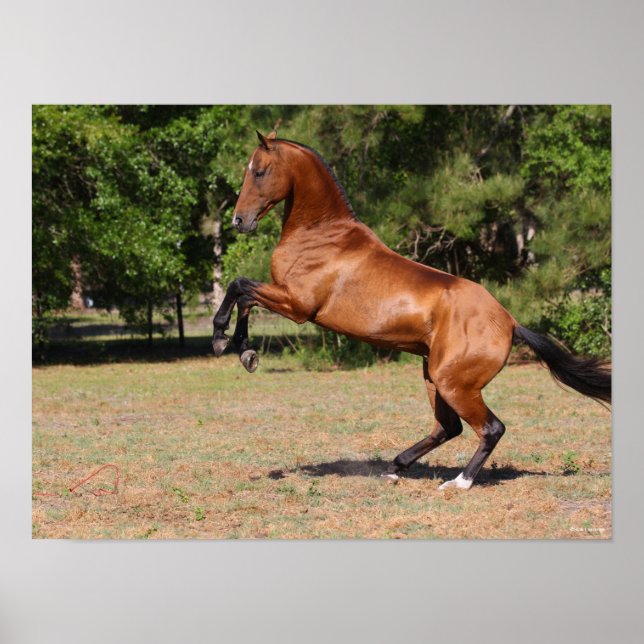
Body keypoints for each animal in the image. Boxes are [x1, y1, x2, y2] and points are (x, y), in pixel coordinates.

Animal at [212, 130, 611, 490]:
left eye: (259, 171)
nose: (239, 221)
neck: (321, 235)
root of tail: (510, 321)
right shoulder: (284, 298)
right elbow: (243, 296)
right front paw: (244, 351)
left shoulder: (296, 304)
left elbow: (238, 286)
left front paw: (223, 339)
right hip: (434, 377)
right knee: (448, 428)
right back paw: (394, 468)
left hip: (453, 383)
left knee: (490, 428)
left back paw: (459, 482)